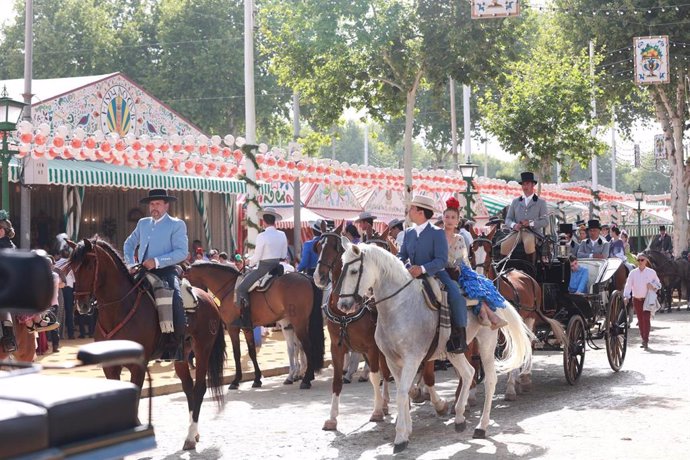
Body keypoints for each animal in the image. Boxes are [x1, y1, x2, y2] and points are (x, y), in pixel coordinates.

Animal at [67, 239, 224, 452]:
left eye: (90, 265)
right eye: (73, 267)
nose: (82, 305)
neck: (119, 309)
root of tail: (208, 298)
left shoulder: (137, 367)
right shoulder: (110, 366)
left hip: (203, 349)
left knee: (199, 388)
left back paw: (190, 437)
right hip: (182, 355)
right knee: (188, 387)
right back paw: (194, 432)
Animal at [181, 262, 324, 388]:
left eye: (186, 284)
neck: (230, 289)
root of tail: (305, 277)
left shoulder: (233, 328)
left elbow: (237, 353)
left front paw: (236, 381)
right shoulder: (247, 328)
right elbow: (252, 352)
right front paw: (257, 379)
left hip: (298, 324)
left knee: (306, 346)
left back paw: (306, 380)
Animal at [334, 239, 532, 454]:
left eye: (354, 271)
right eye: (341, 268)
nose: (343, 305)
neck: (399, 306)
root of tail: (490, 288)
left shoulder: (413, 358)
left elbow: (403, 392)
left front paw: (400, 437)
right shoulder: (392, 360)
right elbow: (404, 391)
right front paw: (407, 429)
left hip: (486, 343)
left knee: (489, 380)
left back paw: (482, 426)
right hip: (454, 350)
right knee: (469, 373)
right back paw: (460, 417)